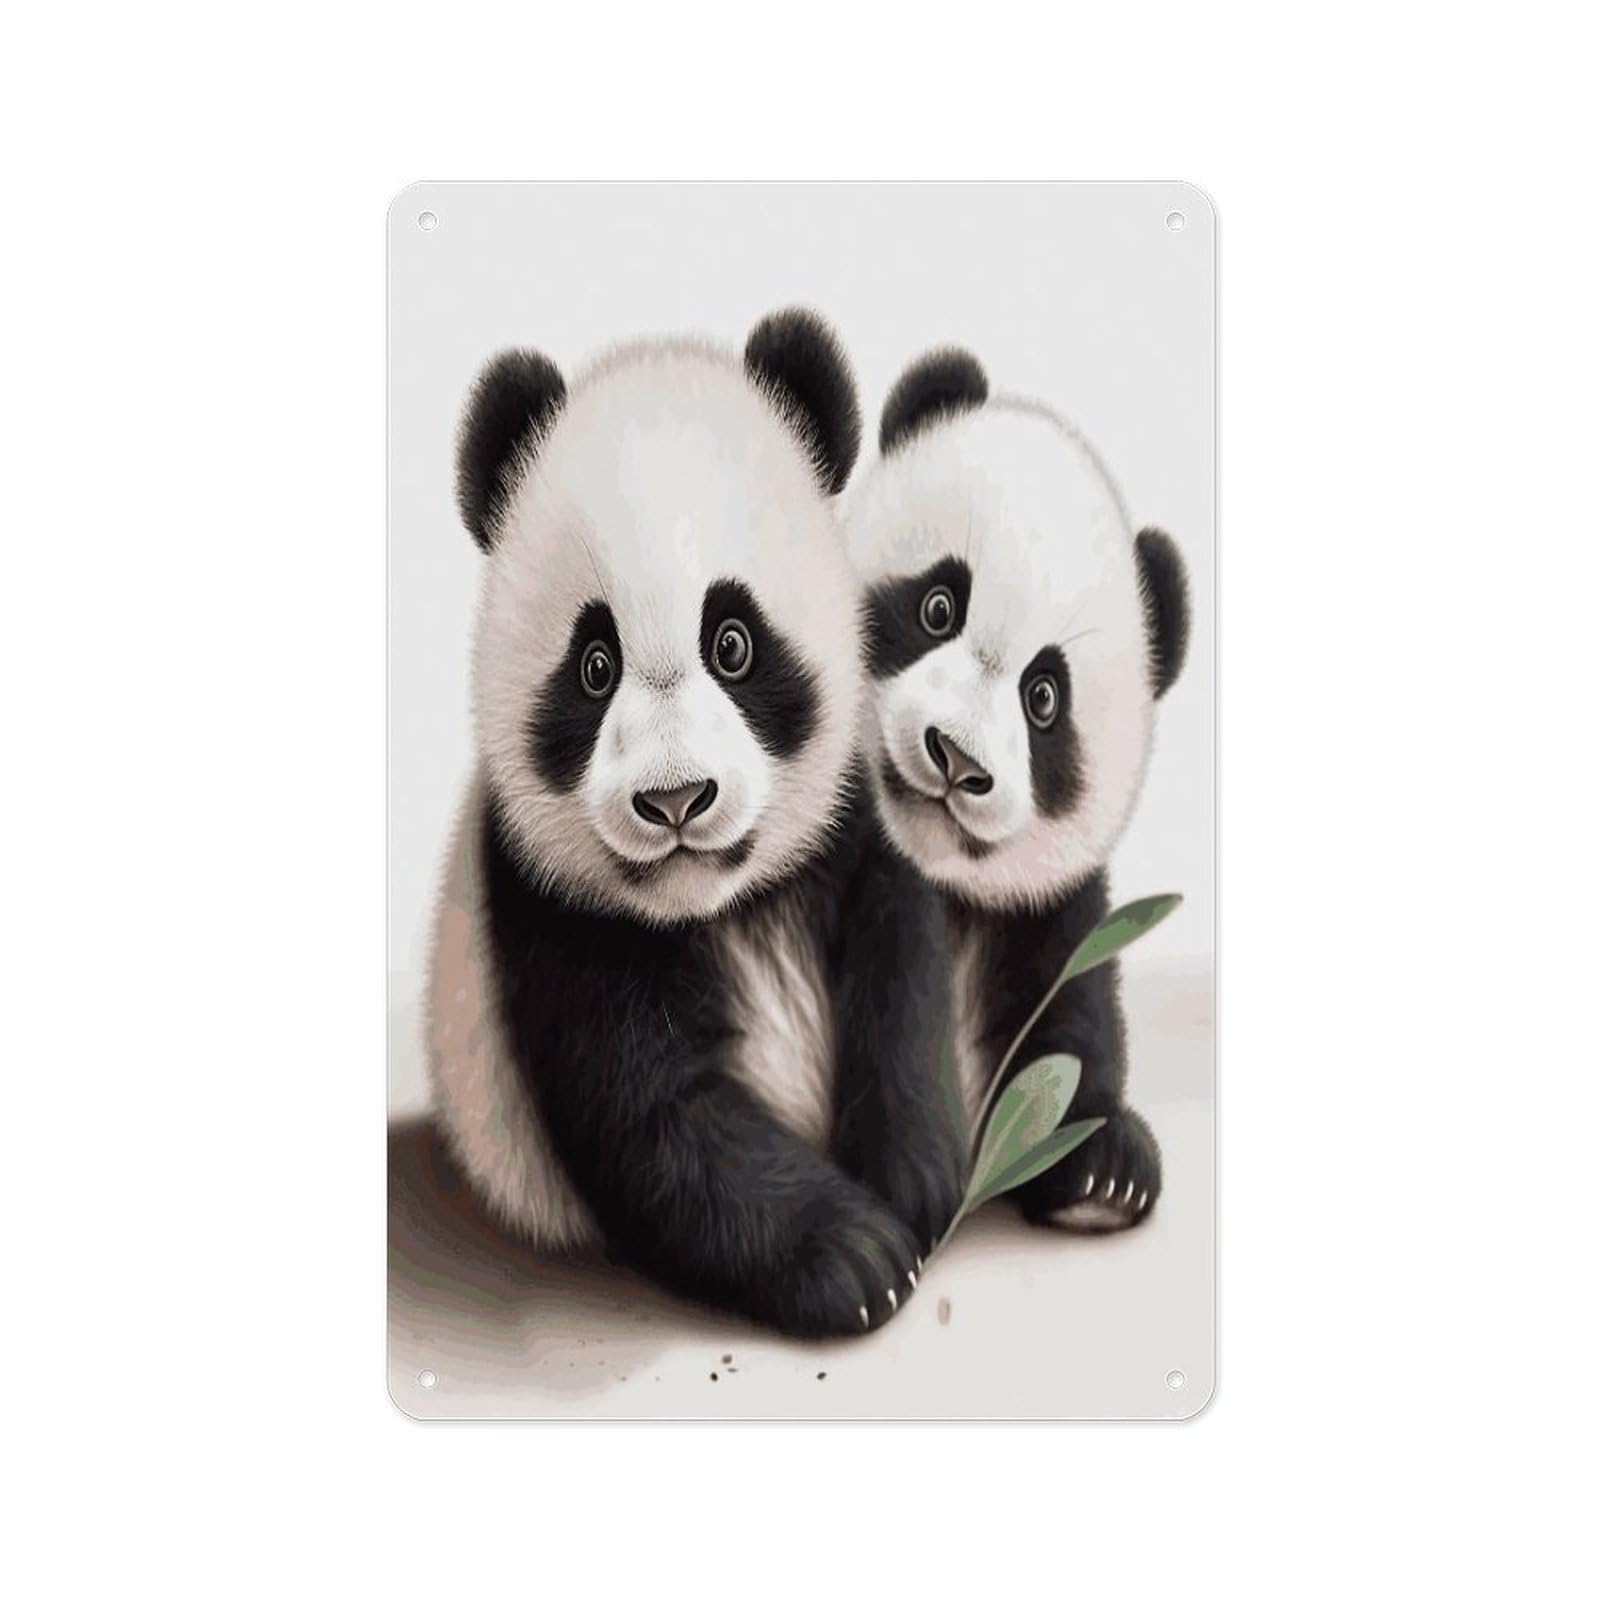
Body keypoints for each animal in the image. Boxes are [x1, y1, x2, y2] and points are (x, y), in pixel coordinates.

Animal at [424, 310, 967, 1338]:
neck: (717, 902)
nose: (676, 802)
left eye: (734, 643)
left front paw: (917, 1178)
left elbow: (905, 972)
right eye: (595, 665)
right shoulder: (543, 906)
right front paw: (859, 1256)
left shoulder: (859, 809)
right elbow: (657, 1114)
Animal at [843, 348, 1190, 1231]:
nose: (955, 759)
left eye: (1043, 698)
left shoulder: (1048, 898)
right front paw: (911, 1177)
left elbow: (1072, 997)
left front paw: (1101, 1170)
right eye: (938, 605)